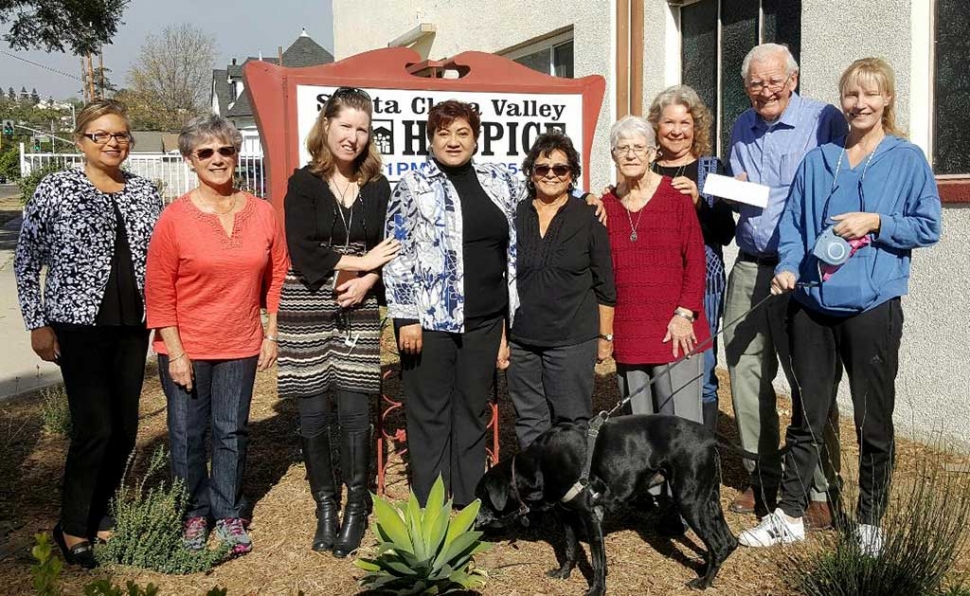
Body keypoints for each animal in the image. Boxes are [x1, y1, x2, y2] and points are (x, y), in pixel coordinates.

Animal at [472, 414, 744, 596]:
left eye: (480, 498)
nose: (470, 520)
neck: (539, 464)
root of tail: (709, 437)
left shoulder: (590, 516)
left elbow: (597, 560)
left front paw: (597, 590)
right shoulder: (567, 515)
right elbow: (570, 549)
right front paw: (563, 574)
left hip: (690, 500)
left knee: (718, 543)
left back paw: (703, 583)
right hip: (708, 499)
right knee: (728, 541)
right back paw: (706, 571)